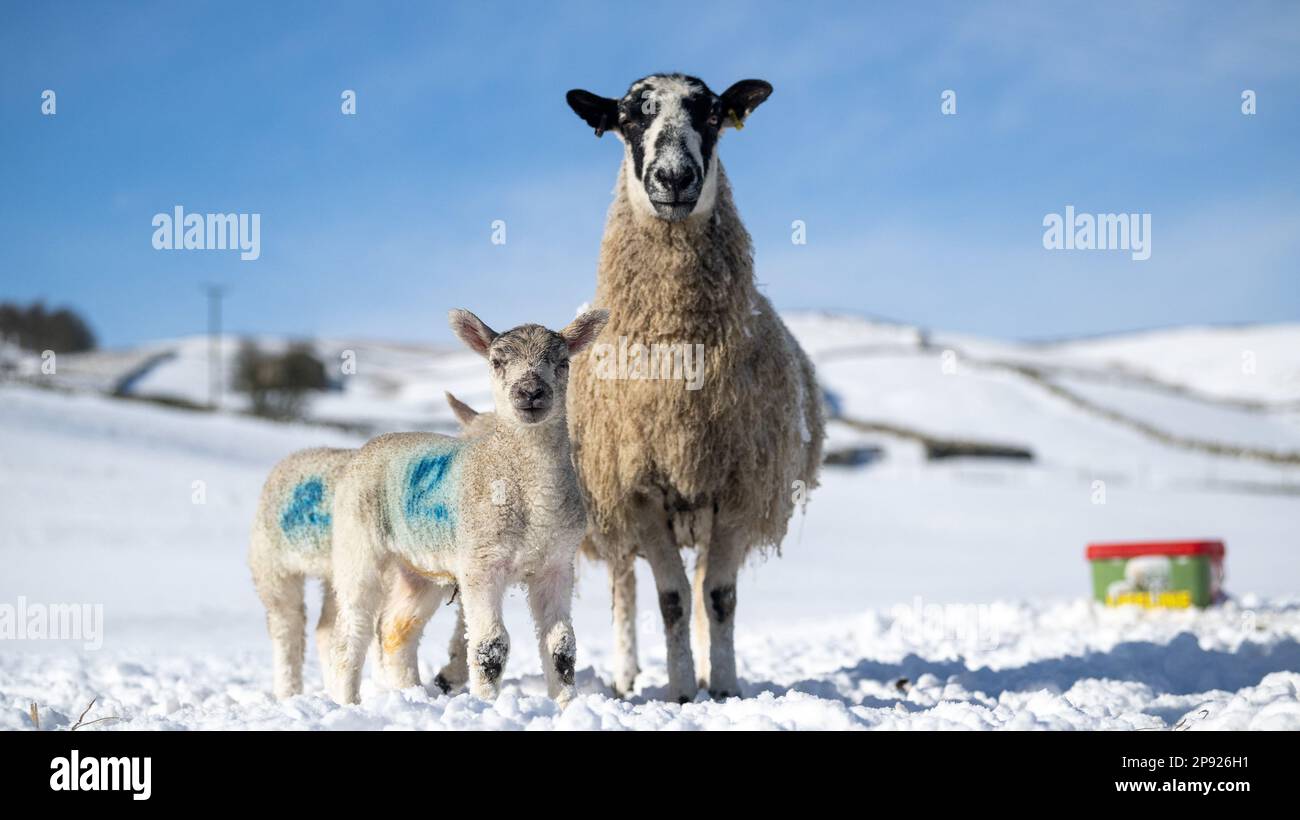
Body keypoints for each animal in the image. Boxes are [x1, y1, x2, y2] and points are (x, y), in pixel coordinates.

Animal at [566, 73, 821, 701]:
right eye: (629, 117)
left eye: (711, 115)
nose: (675, 177)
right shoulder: (639, 492)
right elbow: (672, 599)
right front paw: (681, 691)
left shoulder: (736, 486)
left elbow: (718, 598)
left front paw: (722, 686)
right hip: (609, 508)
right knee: (625, 589)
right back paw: (627, 675)